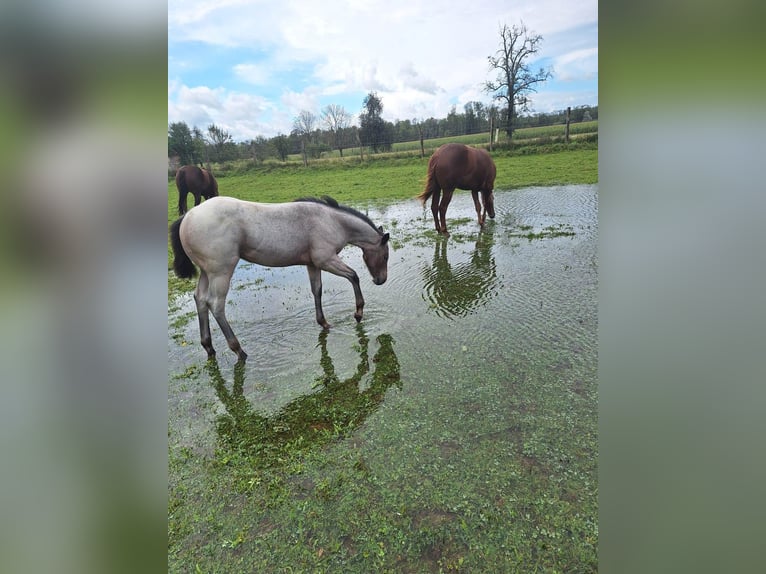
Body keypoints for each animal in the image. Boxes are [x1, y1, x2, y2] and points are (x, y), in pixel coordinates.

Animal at [172, 196, 392, 362]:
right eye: (385, 256)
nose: (381, 280)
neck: (332, 221)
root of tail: (188, 216)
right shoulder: (326, 260)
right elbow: (354, 276)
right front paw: (358, 313)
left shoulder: (313, 264)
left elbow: (317, 290)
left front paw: (324, 323)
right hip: (221, 272)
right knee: (216, 305)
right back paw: (239, 350)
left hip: (206, 272)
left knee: (200, 299)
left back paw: (209, 347)